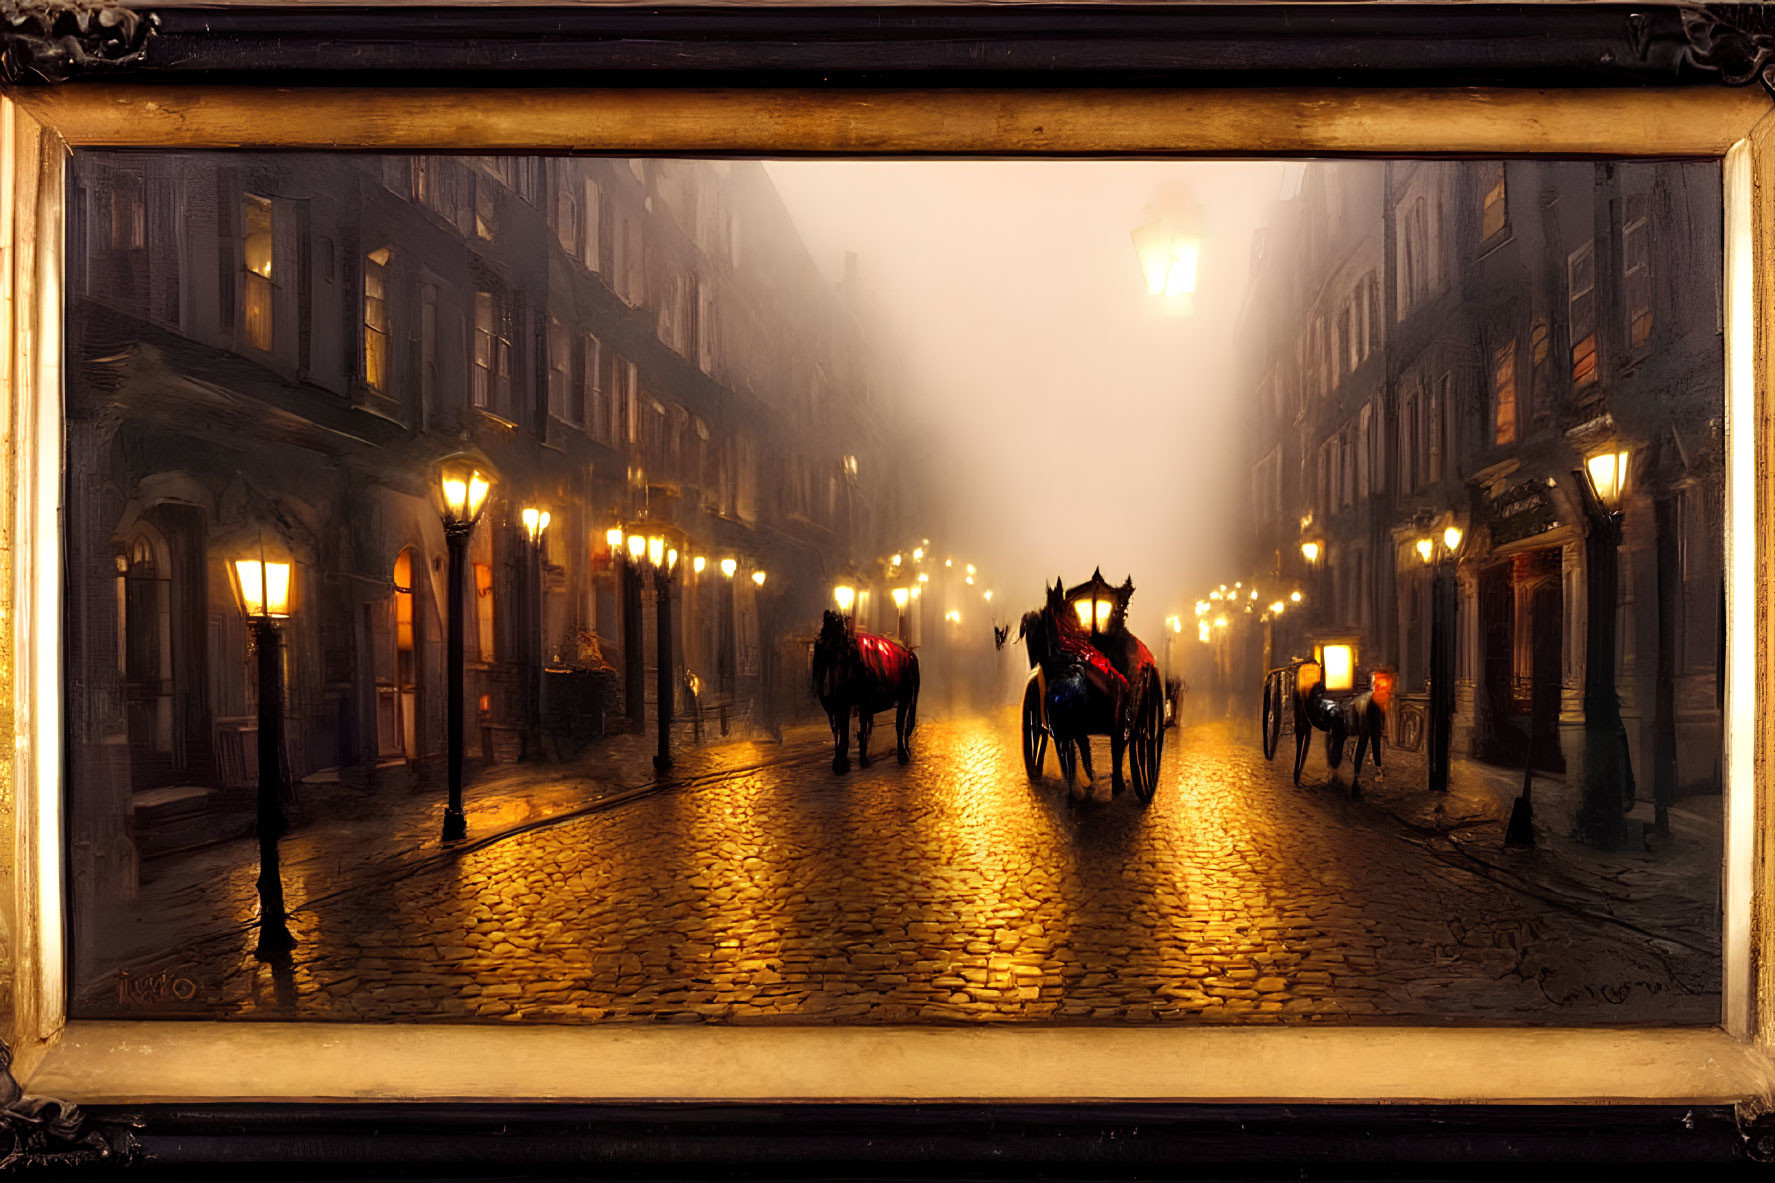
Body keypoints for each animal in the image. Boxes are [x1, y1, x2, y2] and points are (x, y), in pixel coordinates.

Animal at [812, 607, 923, 774]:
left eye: (844, 653)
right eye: (820, 650)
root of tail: (909, 653)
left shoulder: (859, 701)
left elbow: (856, 729)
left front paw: (849, 761)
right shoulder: (846, 703)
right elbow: (844, 729)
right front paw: (841, 762)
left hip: (906, 697)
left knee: (900, 726)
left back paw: (902, 754)